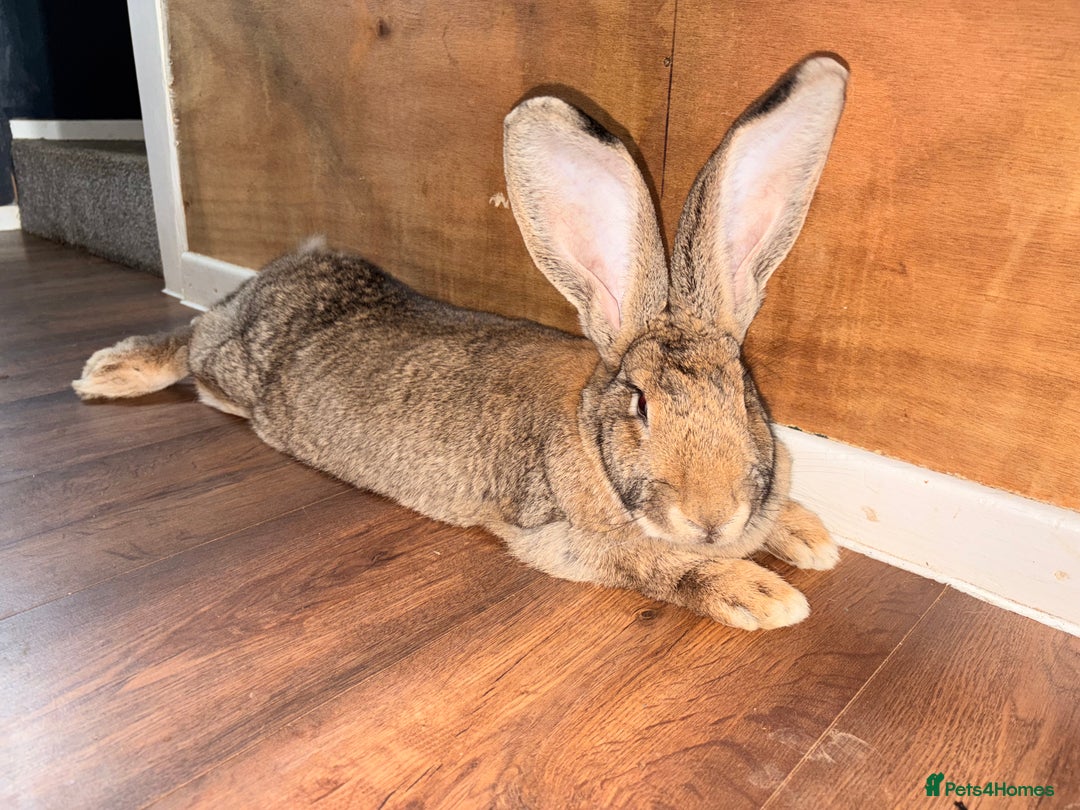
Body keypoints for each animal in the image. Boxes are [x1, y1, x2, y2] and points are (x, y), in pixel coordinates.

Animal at [73, 55, 848, 630]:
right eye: (640, 406)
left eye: (746, 395)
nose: (714, 517)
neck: (587, 432)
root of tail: (288, 267)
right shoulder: (562, 537)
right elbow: (662, 565)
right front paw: (764, 595)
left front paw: (813, 538)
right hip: (229, 362)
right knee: (191, 337)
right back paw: (109, 371)